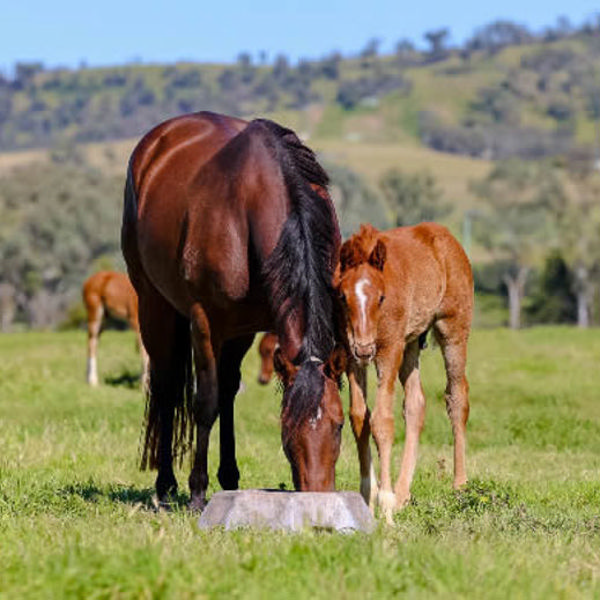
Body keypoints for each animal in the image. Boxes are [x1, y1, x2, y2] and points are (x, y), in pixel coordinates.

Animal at [120, 110, 346, 508]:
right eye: (287, 429)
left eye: (338, 425)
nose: (317, 498)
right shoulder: (205, 323)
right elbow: (205, 402)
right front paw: (197, 492)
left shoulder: (248, 327)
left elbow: (227, 395)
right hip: (153, 304)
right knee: (166, 386)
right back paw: (165, 485)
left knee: (225, 389)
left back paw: (226, 478)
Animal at [336, 221, 472, 520]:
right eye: (342, 296)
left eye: (381, 297)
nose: (364, 348)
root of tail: (445, 234)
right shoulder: (350, 355)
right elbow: (359, 417)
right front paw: (369, 497)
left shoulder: (390, 350)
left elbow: (382, 421)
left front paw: (384, 505)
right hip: (411, 343)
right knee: (415, 404)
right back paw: (403, 495)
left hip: (453, 328)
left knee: (457, 396)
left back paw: (459, 486)